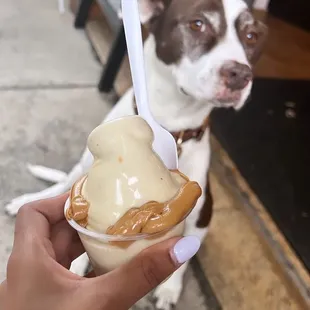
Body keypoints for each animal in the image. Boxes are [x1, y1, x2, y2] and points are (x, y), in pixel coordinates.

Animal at [4, 1, 266, 308]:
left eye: (252, 36)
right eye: (197, 24)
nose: (240, 74)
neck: (171, 122)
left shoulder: (201, 212)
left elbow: (187, 255)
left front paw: (169, 287)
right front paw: (79, 261)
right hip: (79, 170)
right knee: (64, 184)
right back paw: (29, 200)